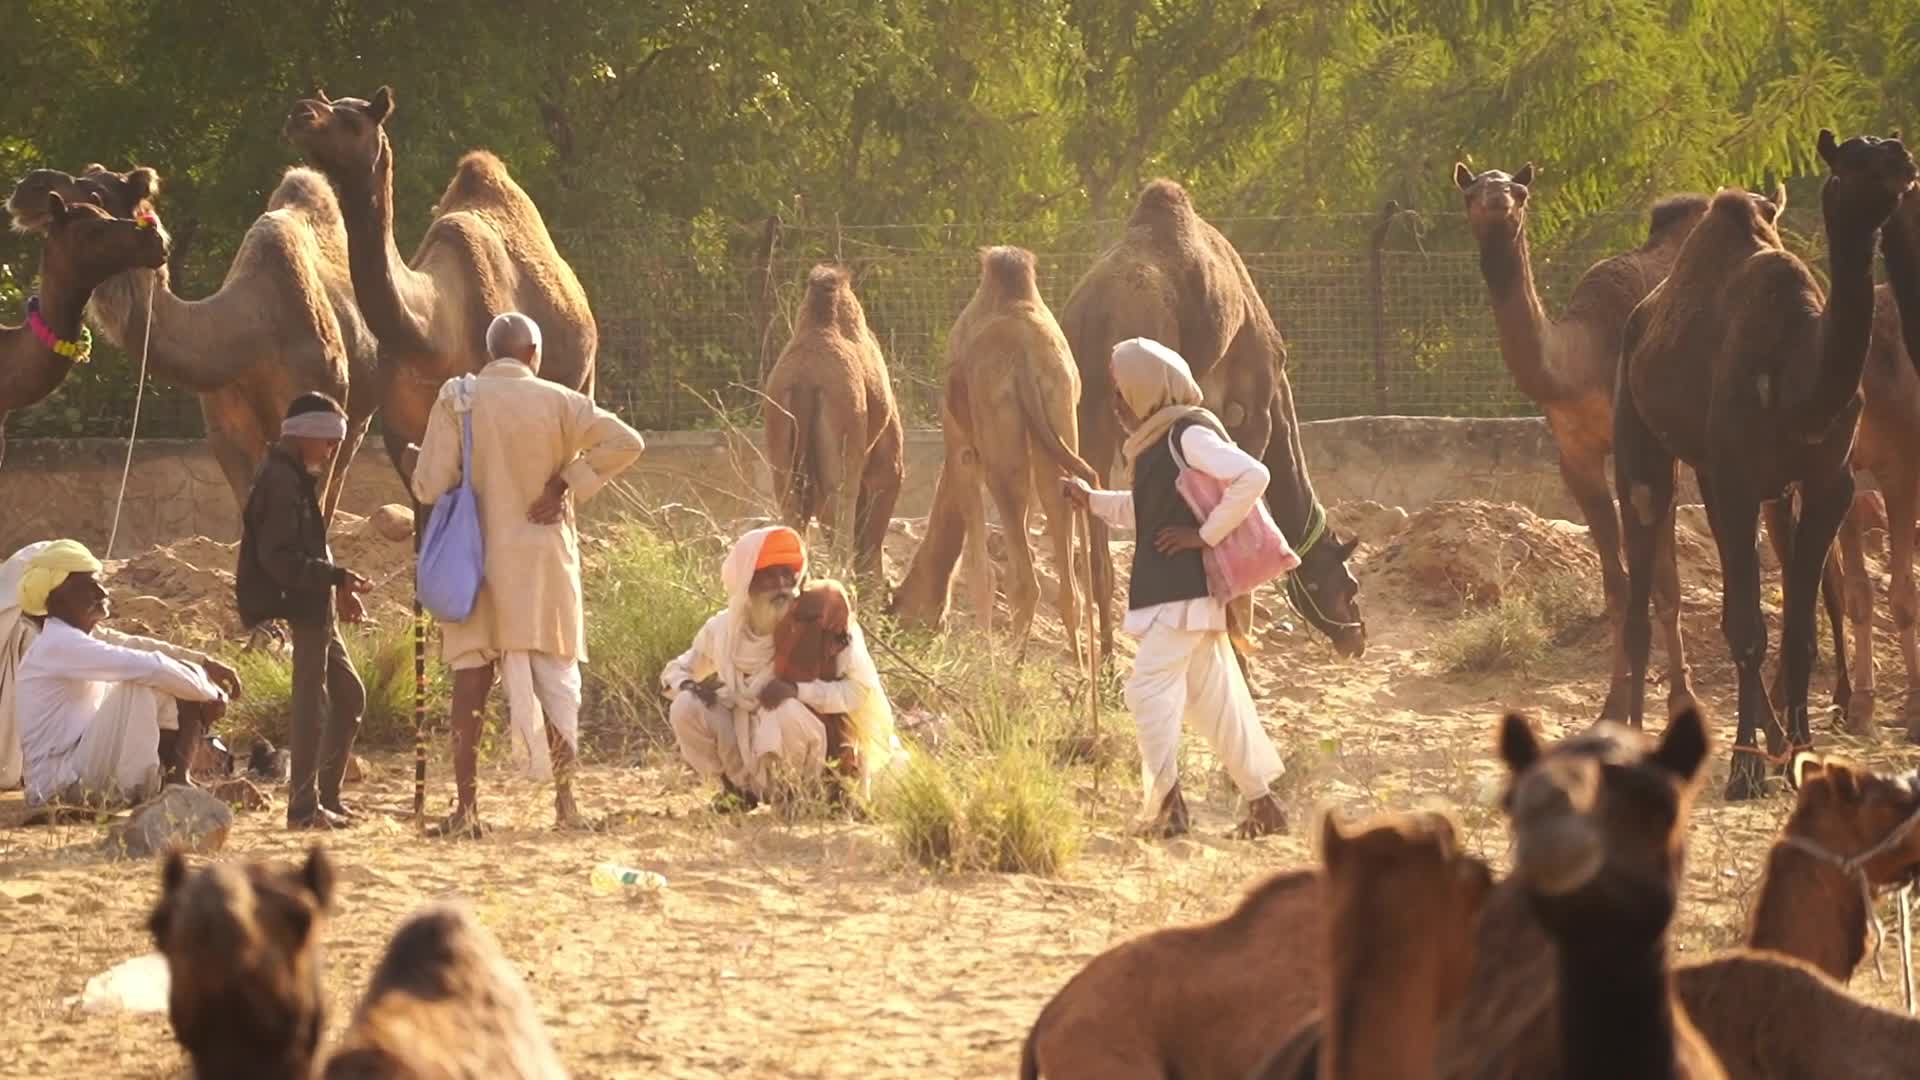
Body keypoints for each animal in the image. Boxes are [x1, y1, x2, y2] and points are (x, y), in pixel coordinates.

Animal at [284, 87, 595, 475]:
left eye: (354, 122)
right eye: (330, 104)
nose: (301, 112)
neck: (433, 339)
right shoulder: (399, 428)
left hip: (584, 383)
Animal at [889, 246, 1097, 655]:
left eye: (901, 604)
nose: (904, 632)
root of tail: (1027, 356)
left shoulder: (962, 450)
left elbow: (981, 575)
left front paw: (983, 656)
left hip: (999, 439)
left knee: (1024, 584)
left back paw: (1010, 669)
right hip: (1058, 416)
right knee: (1067, 584)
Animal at [1060, 179, 1365, 660]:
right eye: (1348, 587)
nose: (1357, 638)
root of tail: (1094, 318)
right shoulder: (1249, 414)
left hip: (1089, 416)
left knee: (1097, 545)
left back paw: (1106, 663)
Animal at [1615, 132, 1919, 800]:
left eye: (1893, 145)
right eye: (1853, 158)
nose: (1902, 163)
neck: (1798, 379)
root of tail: (1643, 316)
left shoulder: (1827, 481)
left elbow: (1799, 631)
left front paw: (1801, 755)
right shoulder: (1734, 479)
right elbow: (1748, 629)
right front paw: (1744, 768)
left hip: (1752, 484)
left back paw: (1779, 742)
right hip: (1644, 437)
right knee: (1643, 540)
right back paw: (1620, 729)